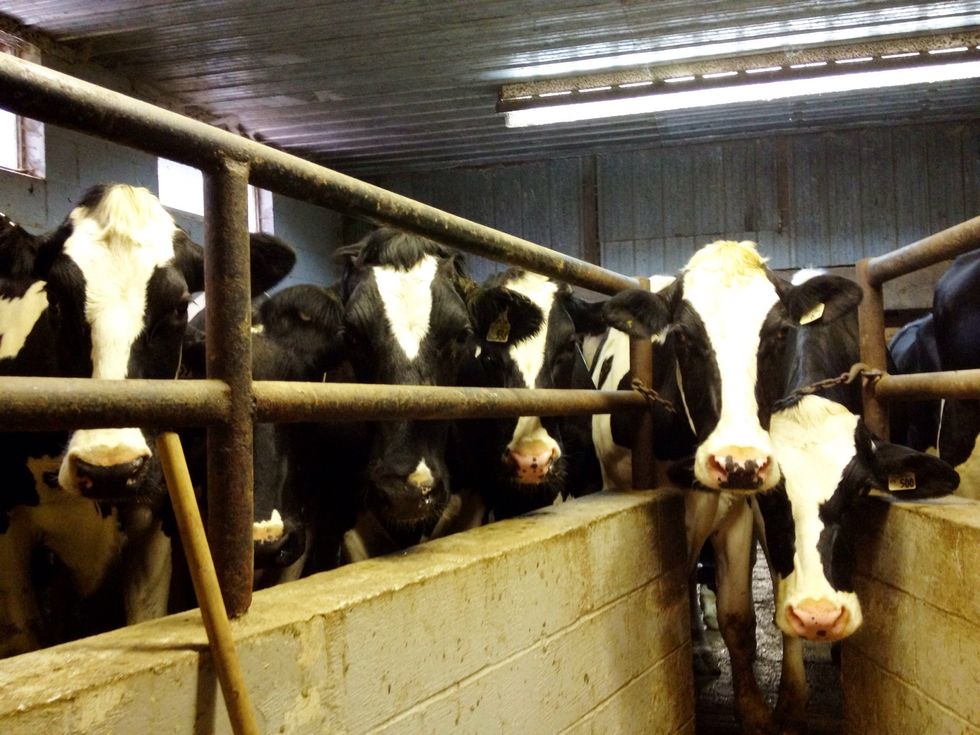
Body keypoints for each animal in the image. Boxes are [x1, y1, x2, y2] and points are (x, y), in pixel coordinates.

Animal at [0, 184, 296, 657]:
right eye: (57, 301)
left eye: (178, 307)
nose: (110, 466)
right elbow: (23, 637)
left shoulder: (154, 524)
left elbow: (145, 618)